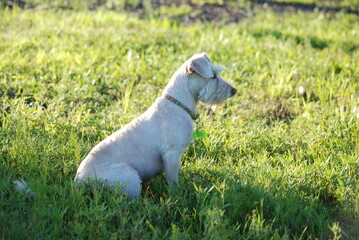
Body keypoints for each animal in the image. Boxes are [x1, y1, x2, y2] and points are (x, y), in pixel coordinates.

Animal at [74, 53, 236, 198]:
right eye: (213, 76)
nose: (234, 91)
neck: (178, 104)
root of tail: (80, 180)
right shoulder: (171, 154)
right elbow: (173, 180)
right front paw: (177, 195)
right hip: (129, 176)